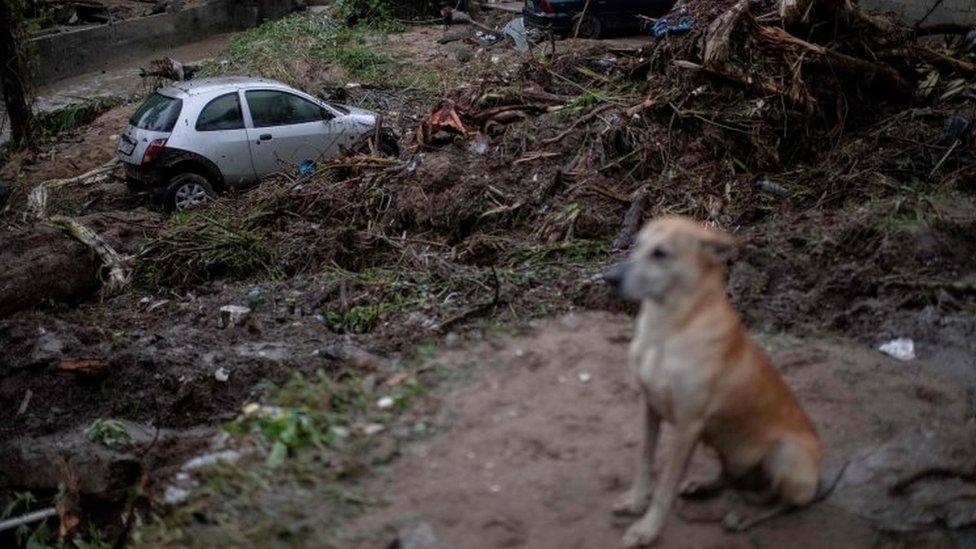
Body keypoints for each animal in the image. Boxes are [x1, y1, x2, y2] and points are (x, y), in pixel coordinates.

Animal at [604, 216, 824, 544]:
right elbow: (645, 461)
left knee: (788, 503)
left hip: (787, 453)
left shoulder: (688, 425)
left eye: (661, 253)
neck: (667, 331)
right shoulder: (650, 405)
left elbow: (665, 485)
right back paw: (705, 486)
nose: (609, 278)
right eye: (637, 244)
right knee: (730, 477)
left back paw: (745, 518)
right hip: (721, 440)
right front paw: (635, 502)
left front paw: (647, 529)